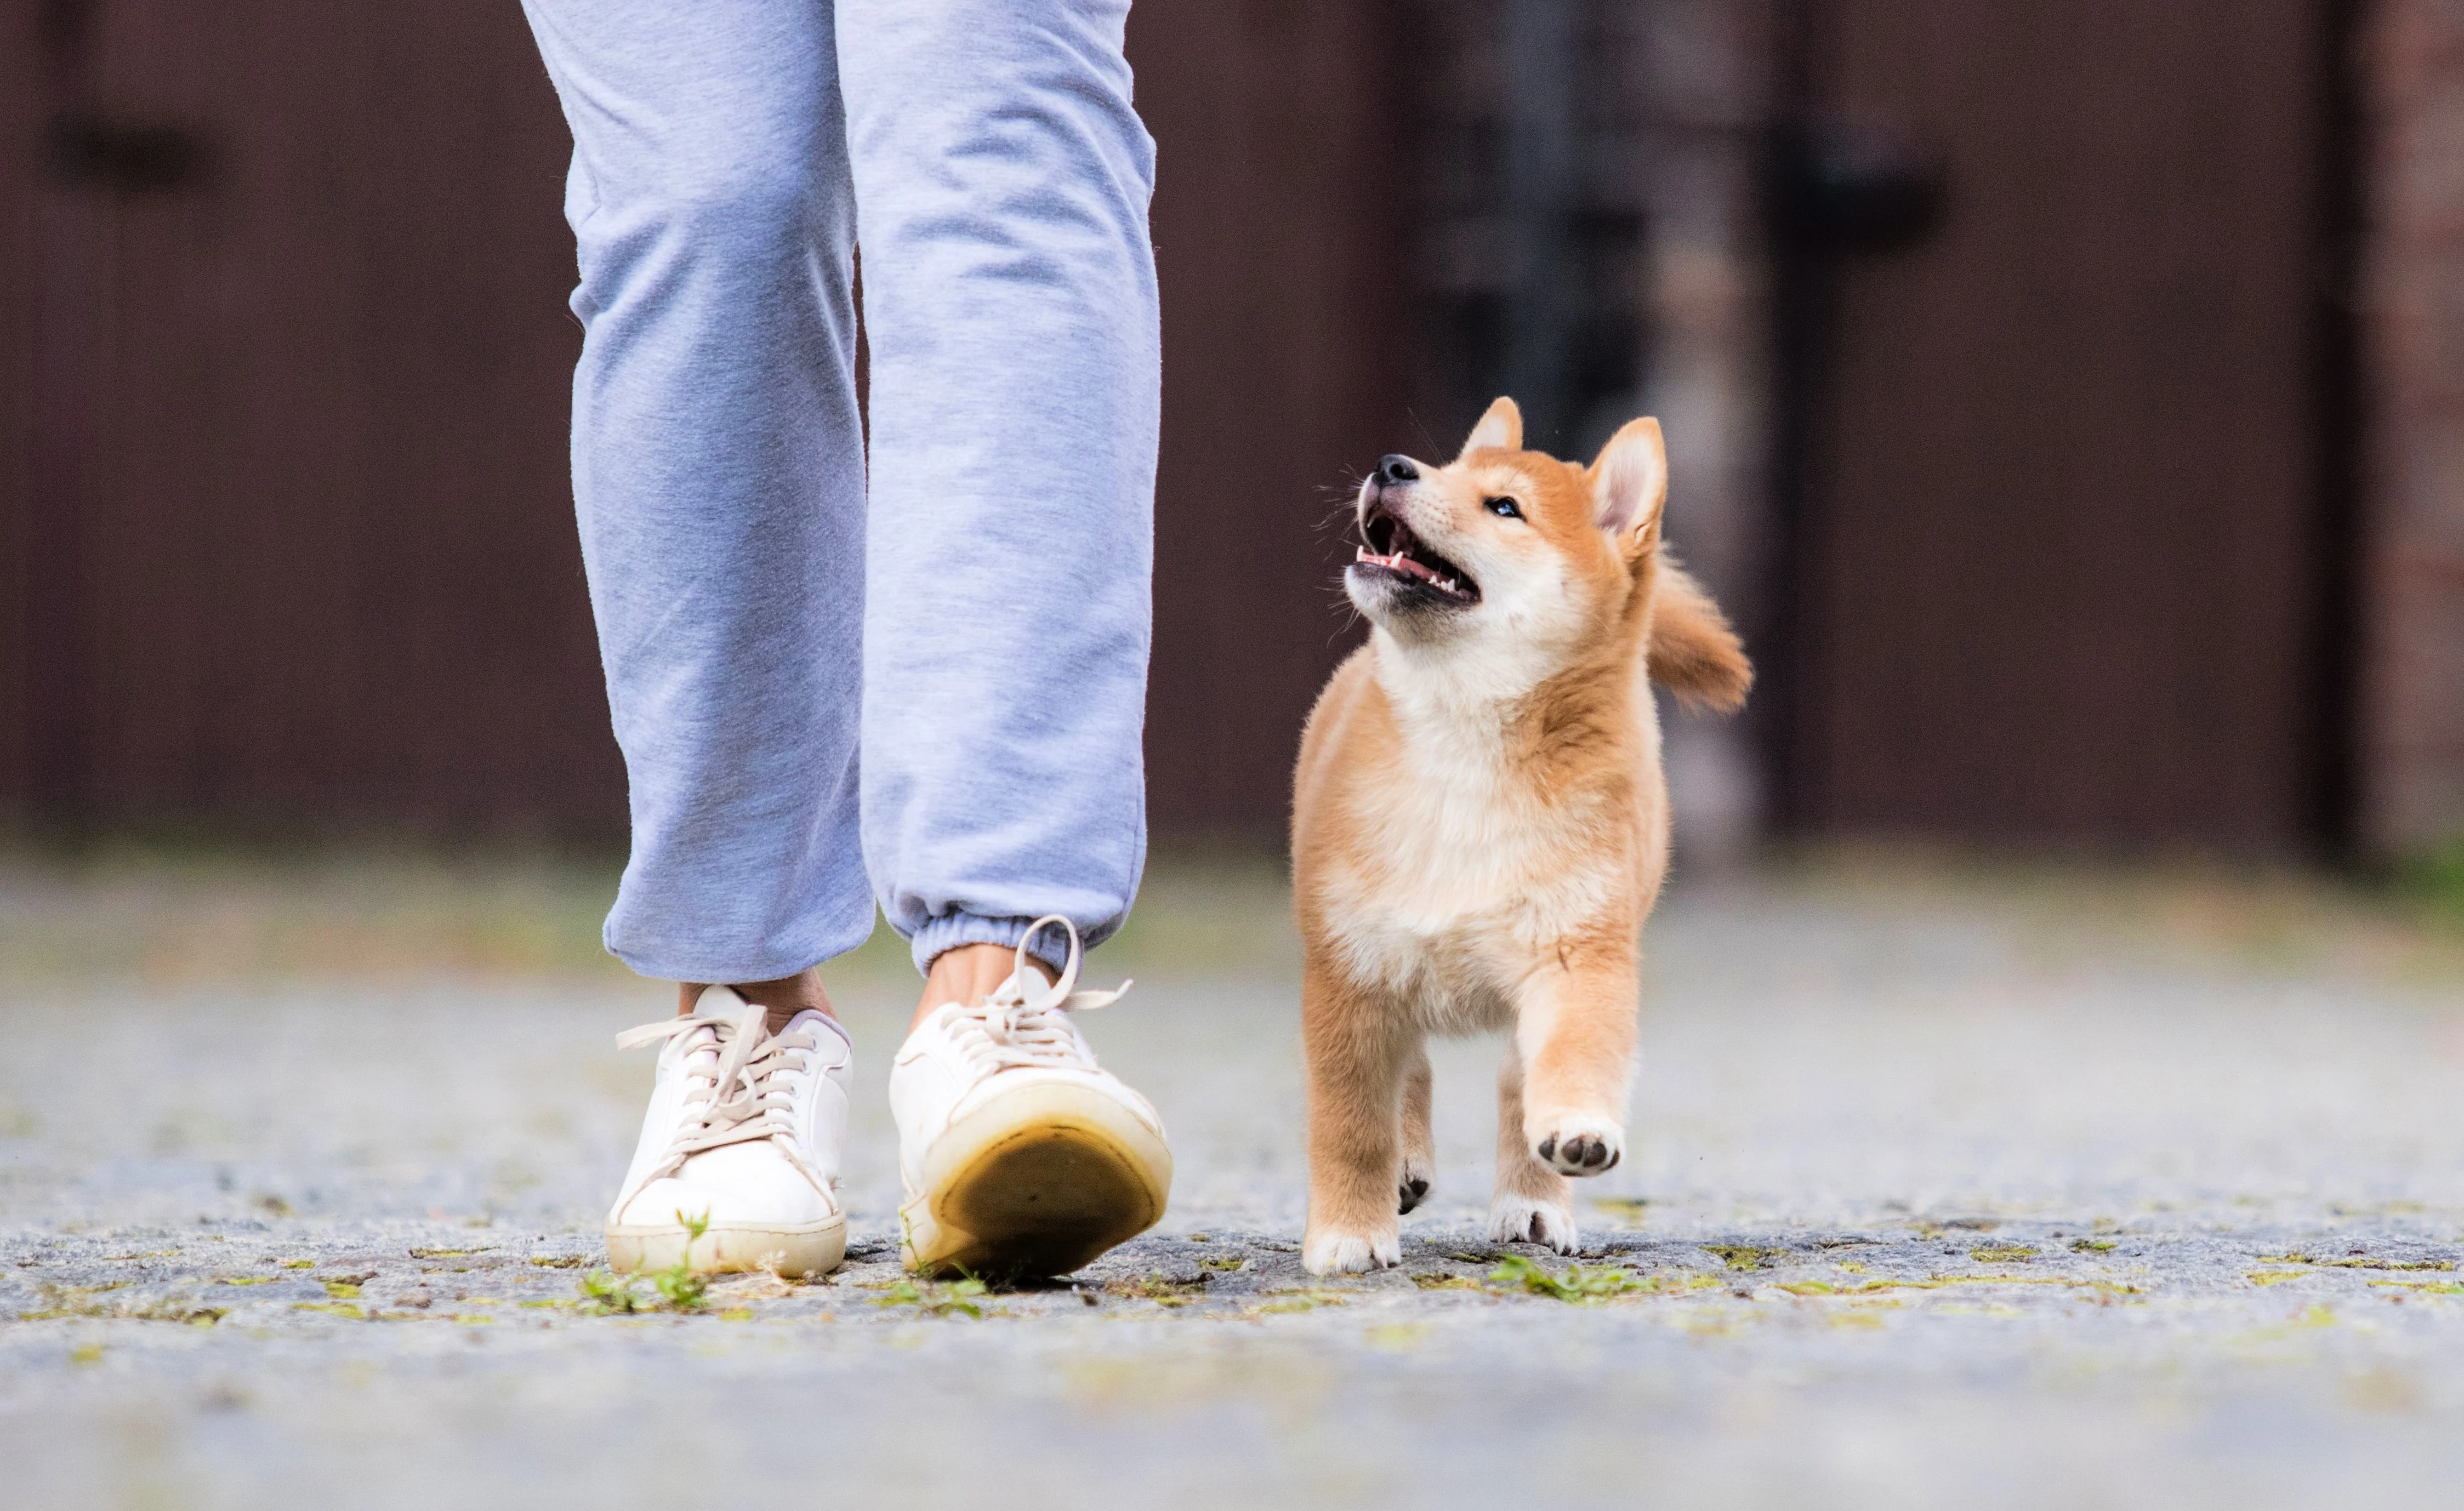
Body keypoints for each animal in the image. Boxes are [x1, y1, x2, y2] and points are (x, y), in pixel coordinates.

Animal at [1291, 394, 1754, 1262]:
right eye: (1444, 471)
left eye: (1504, 507)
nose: (1391, 465)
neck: (1462, 752)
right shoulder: (1351, 972)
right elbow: (1352, 1124)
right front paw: (1347, 1232)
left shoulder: (1579, 952)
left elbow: (1569, 1063)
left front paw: (1577, 1129)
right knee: (1412, 1072)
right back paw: (1406, 1166)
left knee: (1513, 1088)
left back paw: (1533, 1204)